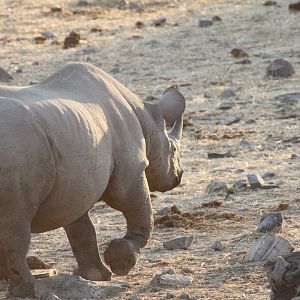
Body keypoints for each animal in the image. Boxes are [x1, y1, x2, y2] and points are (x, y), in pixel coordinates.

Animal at [0, 62, 185, 298]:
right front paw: (121, 263)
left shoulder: (74, 185)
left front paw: (96, 276)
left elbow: (82, 230)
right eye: (173, 150)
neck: (146, 117)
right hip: (19, 154)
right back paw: (31, 291)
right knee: (16, 226)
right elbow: (139, 212)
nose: (178, 176)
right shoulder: (132, 170)